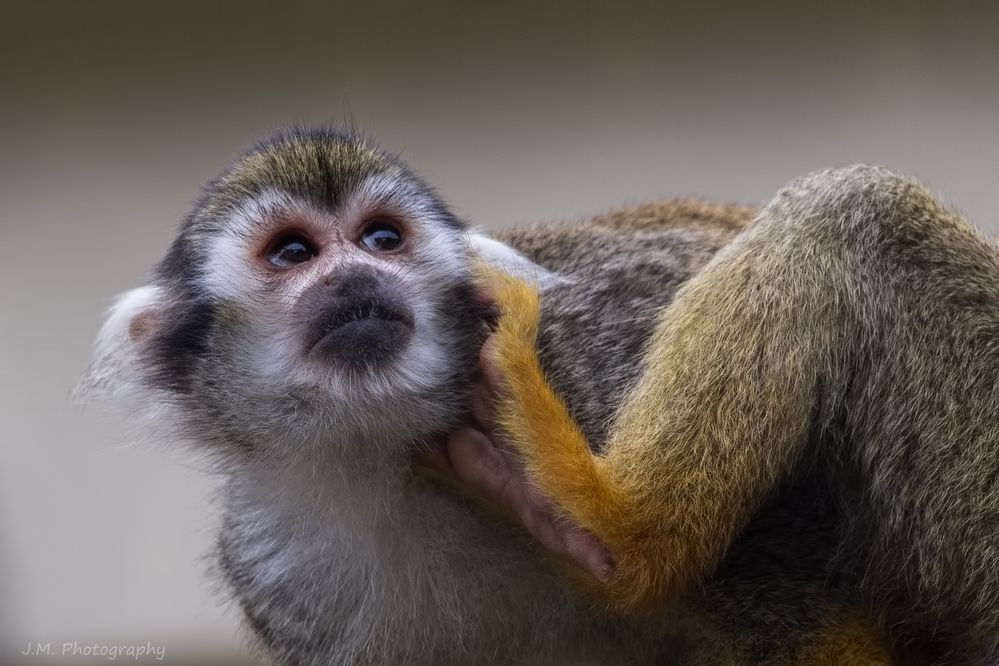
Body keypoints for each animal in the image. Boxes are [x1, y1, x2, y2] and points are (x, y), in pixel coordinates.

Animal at [82, 126, 988, 664]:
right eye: (293, 253)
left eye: (382, 238)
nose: (356, 277)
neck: (381, 458)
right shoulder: (277, 580)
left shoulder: (588, 346)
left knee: (858, 208)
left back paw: (612, 533)